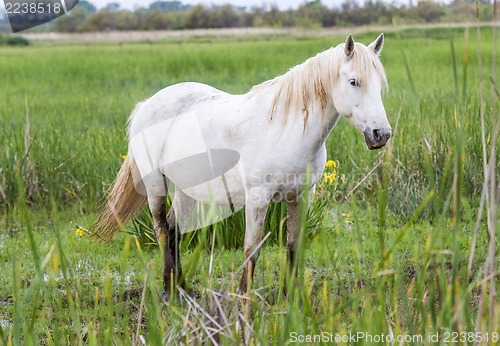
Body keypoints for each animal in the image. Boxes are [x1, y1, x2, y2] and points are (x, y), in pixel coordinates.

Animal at [92, 33, 392, 298]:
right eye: (353, 81)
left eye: (379, 85)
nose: (381, 134)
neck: (286, 129)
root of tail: (146, 105)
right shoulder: (258, 198)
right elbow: (251, 248)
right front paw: (244, 299)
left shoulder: (301, 196)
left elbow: (293, 245)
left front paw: (292, 297)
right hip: (156, 185)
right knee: (162, 230)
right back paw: (168, 292)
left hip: (187, 189)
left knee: (174, 230)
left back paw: (183, 290)